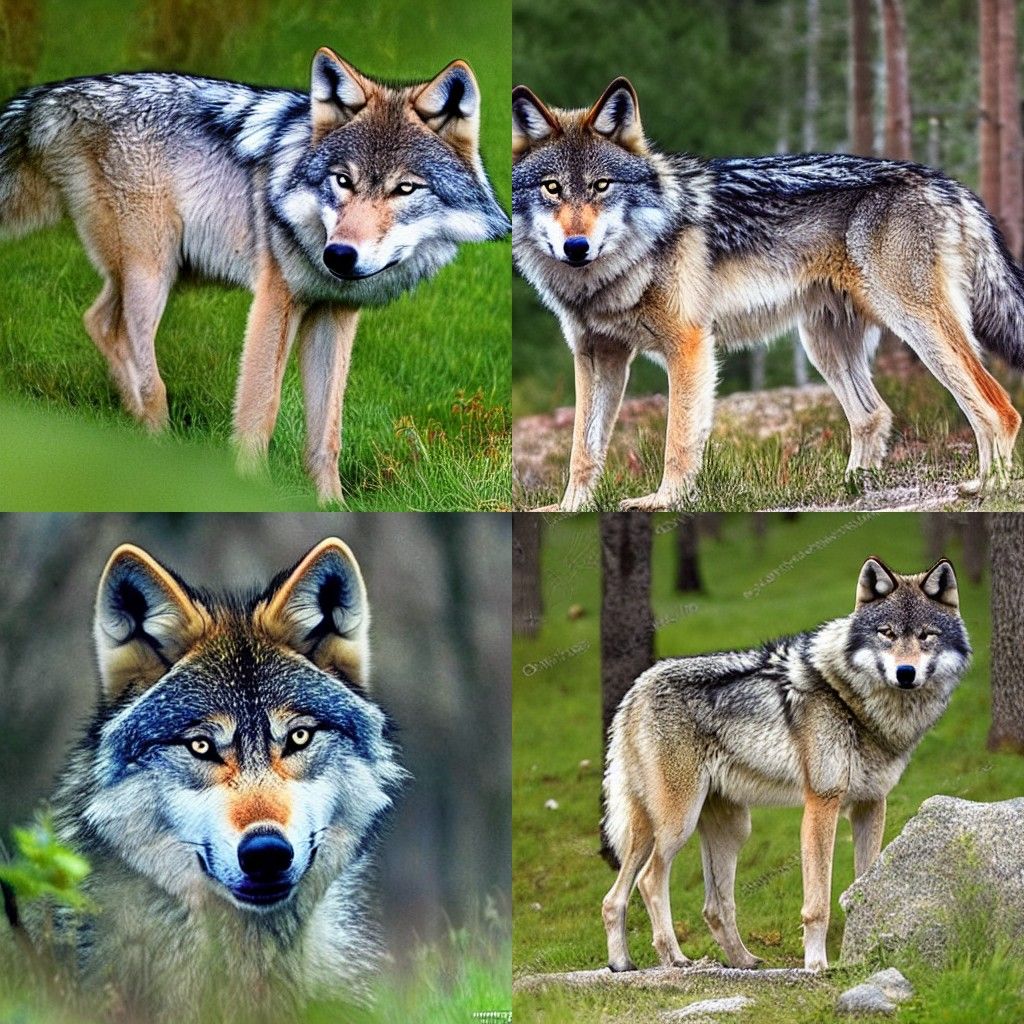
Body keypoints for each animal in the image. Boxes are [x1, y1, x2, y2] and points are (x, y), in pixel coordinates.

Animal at [0, 51, 509, 502]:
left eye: (405, 188)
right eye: (343, 181)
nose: (339, 256)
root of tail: (58, 95)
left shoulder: (336, 313)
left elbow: (327, 434)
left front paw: (331, 506)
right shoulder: (275, 298)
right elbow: (259, 411)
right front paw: (248, 490)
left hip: (171, 272)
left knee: (99, 320)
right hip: (153, 270)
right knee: (137, 358)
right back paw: (159, 457)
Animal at [512, 77, 1024, 510]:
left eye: (602, 186)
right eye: (552, 189)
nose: (576, 247)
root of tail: (949, 185)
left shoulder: (689, 346)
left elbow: (678, 440)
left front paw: (665, 502)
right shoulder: (597, 355)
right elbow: (582, 450)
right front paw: (570, 509)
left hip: (915, 328)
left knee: (999, 407)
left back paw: (987, 488)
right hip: (824, 346)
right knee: (874, 414)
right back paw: (851, 488)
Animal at [600, 556, 970, 972]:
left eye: (926, 636)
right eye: (886, 634)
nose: (905, 673)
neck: (855, 702)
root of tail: (636, 688)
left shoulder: (871, 805)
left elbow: (866, 885)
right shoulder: (822, 803)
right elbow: (818, 903)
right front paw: (817, 965)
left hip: (722, 829)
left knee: (672, 903)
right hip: (678, 824)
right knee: (649, 881)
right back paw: (675, 959)